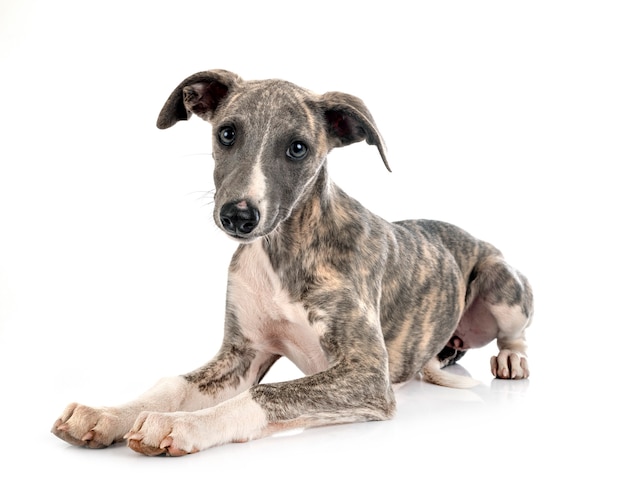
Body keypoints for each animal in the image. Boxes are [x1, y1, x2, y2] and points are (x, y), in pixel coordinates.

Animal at [53, 68, 532, 456]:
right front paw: (107, 414)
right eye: (227, 133)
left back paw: (512, 360)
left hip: (502, 282)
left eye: (298, 148)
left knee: (514, 332)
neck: (282, 250)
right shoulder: (242, 354)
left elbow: (267, 395)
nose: (238, 215)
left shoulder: (365, 375)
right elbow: (174, 383)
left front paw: (181, 426)